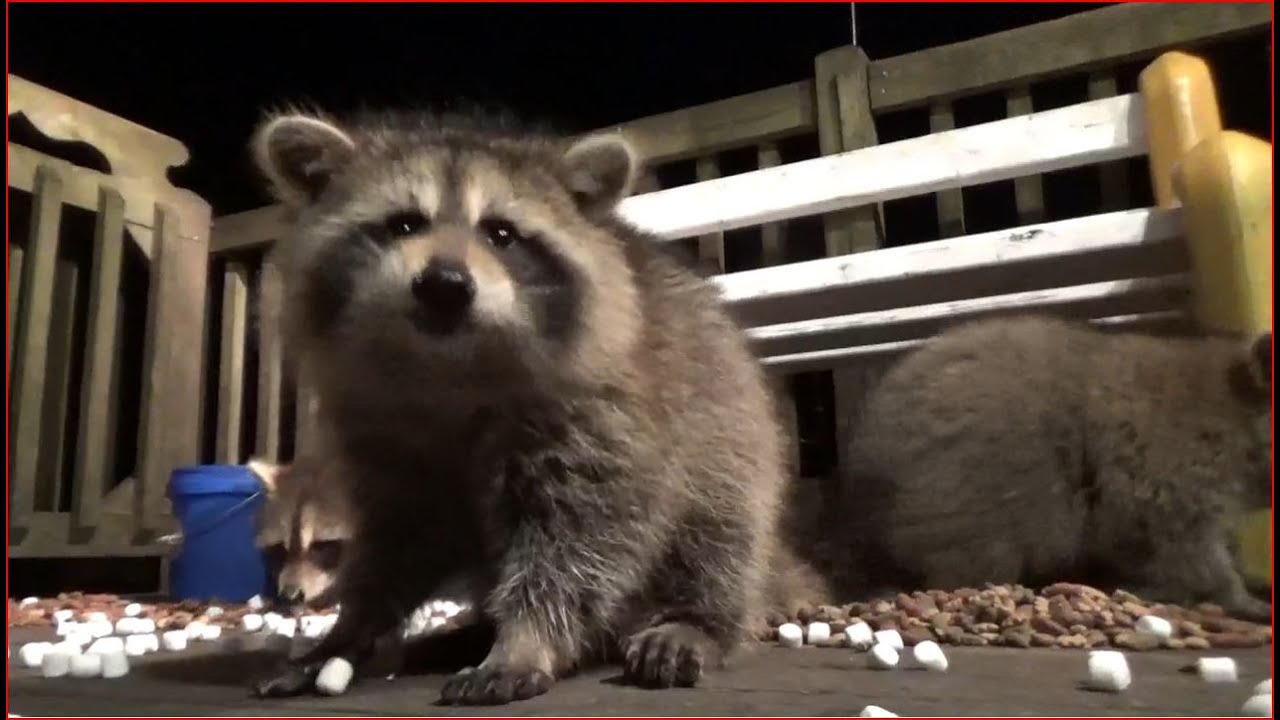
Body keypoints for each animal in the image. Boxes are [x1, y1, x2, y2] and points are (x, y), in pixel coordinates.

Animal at [247, 108, 794, 705]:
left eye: (501, 234)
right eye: (405, 225)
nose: (444, 284)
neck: (450, 366)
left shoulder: (606, 422)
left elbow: (580, 543)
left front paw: (527, 639)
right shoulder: (384, 437)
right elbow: (395, 544)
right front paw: (349, 630)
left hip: (730, 429)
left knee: (718, 530)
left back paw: (696, 617)